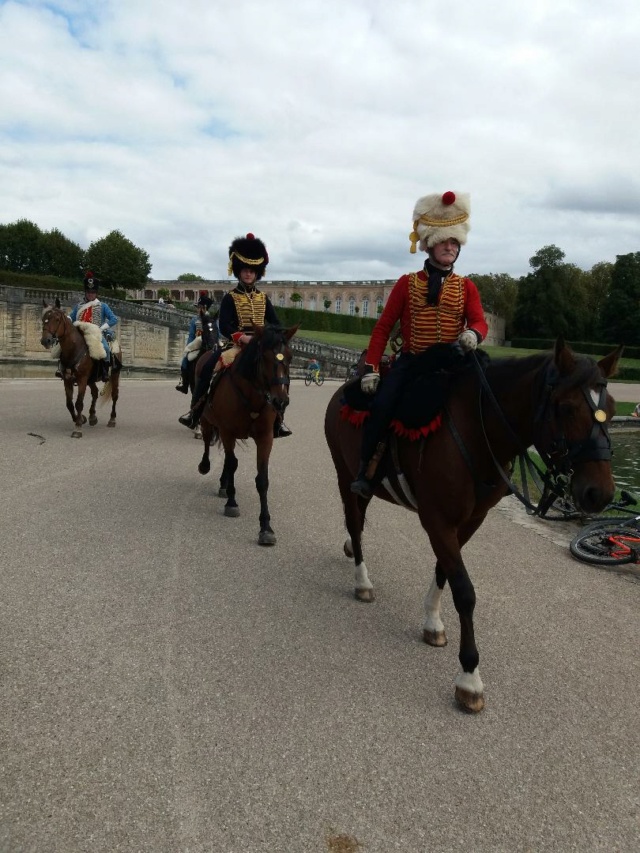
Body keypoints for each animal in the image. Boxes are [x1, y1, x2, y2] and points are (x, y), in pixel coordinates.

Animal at [41, 298, 121, 440]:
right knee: (95, 393)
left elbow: (79, 403)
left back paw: (112, 419)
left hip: (114, 375)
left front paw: (77, 427)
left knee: (114, 395)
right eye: (43, 318)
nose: (46, 340)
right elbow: (69, 403)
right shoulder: (67, 380)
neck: (73, 350)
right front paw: (81, 419)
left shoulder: (82, 379)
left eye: (57, 319)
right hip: (91, 379)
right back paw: (92, 416)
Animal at [195, 322, 298, 544]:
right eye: (264, 357)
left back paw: (223, 485)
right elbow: (232, 463)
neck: (253, 394)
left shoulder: (265, 437)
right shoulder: (227, 431)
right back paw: (206, 467)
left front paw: (266, 527)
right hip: (207, 420)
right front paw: (232, 503)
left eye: (290, 357)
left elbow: (262, 478)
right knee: (208, 442)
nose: (280, 401)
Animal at [324, 340, 620, 712]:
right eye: (566, 408)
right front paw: (469, 676)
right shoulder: (437, 520)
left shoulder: (469, 521)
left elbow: (444, 572)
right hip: (345, 473)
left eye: (611, 409)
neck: (478, 430)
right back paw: (362, 579)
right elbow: (464, 591)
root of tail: (345, 387)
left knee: (358, 521)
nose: (600, 493)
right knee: (354, 521)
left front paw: (433, 621)